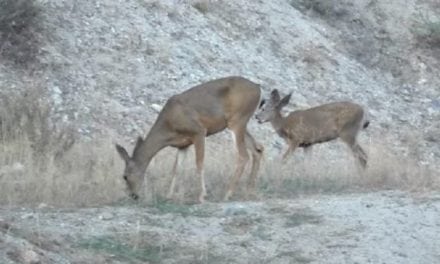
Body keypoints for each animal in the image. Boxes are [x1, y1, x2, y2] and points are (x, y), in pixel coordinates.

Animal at [115, 75, 262, 203]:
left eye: (125, 176)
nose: (133, 196)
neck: (168, 128)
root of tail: (258, 88)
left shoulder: (199, 131)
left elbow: (199, 163)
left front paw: (202, 196)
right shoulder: (183, 145)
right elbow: (176, 169)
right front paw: (169, 196)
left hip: (237, 120)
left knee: (244, 155)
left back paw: (227, 194)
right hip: (240, 123)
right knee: (258, 149)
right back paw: (250, 189)